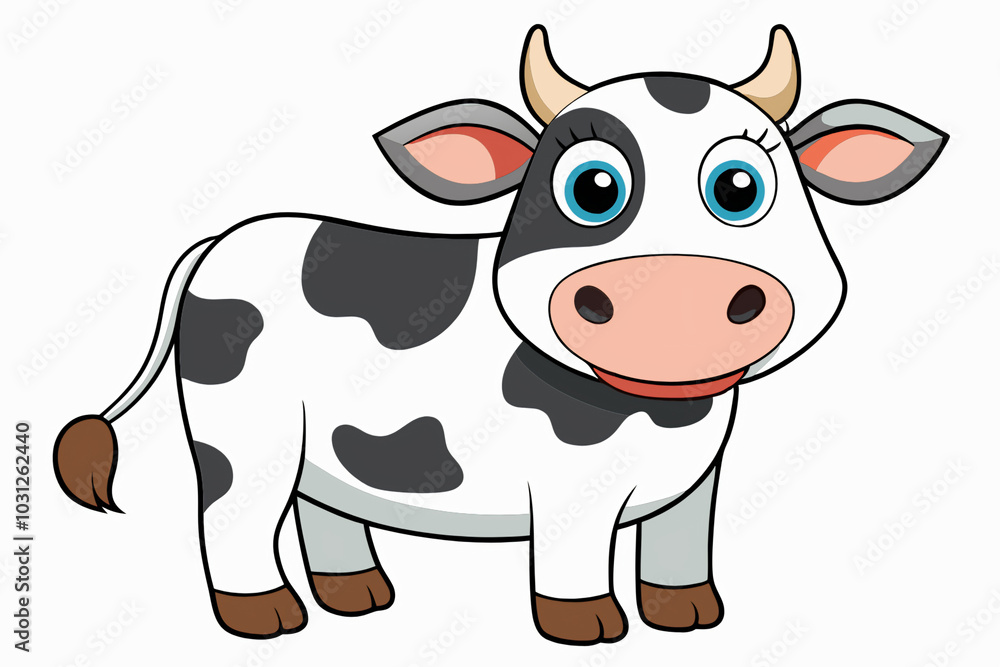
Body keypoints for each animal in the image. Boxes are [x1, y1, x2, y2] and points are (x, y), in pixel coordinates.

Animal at [54, 25, 946, 645]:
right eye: (592, 189)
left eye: (740, 187)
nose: (671, 288)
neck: (665, 419)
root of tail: (220, 241)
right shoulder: (565, 488)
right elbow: (574, 558)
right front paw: (591, 630)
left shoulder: (702, 478)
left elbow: (681, 543)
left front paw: (691, 617)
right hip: (240, 422)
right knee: (230, 509)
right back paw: (269, 620)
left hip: (316, 438)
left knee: (318, 502)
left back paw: (362, 598)